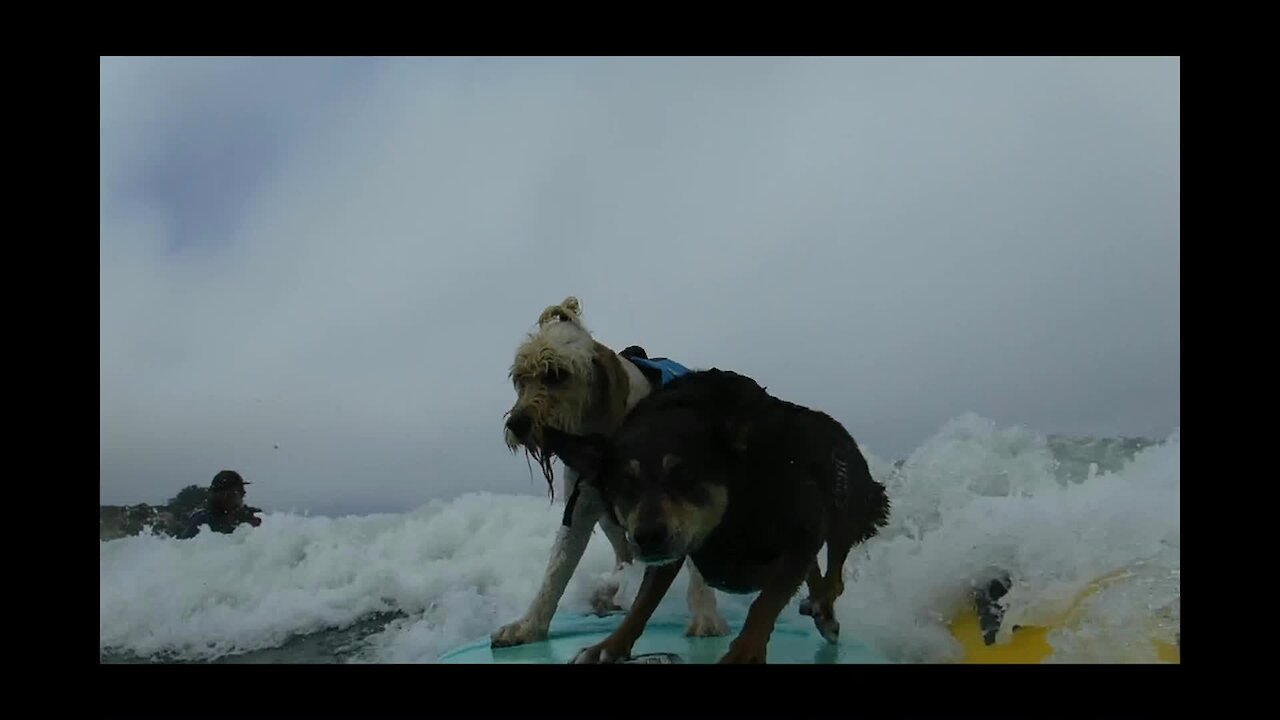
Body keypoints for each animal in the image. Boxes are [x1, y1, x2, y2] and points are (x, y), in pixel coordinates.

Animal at [491, 295, 732, 645]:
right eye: (519, 380)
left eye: (557, 374)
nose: (517, 424)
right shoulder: (580, 507)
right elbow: (555, 571)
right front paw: (528, 625)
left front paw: (706, 617)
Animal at [540, 363, 890, 661]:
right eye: (625, 486)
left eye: (684, 476)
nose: (648, 537)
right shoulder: (672, 549)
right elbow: (643, 601)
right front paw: (611, 645)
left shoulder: (806, 526)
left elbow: (765, 602)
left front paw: (745, 652)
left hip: (846, 508)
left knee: (834, 571)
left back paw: (822, 605)